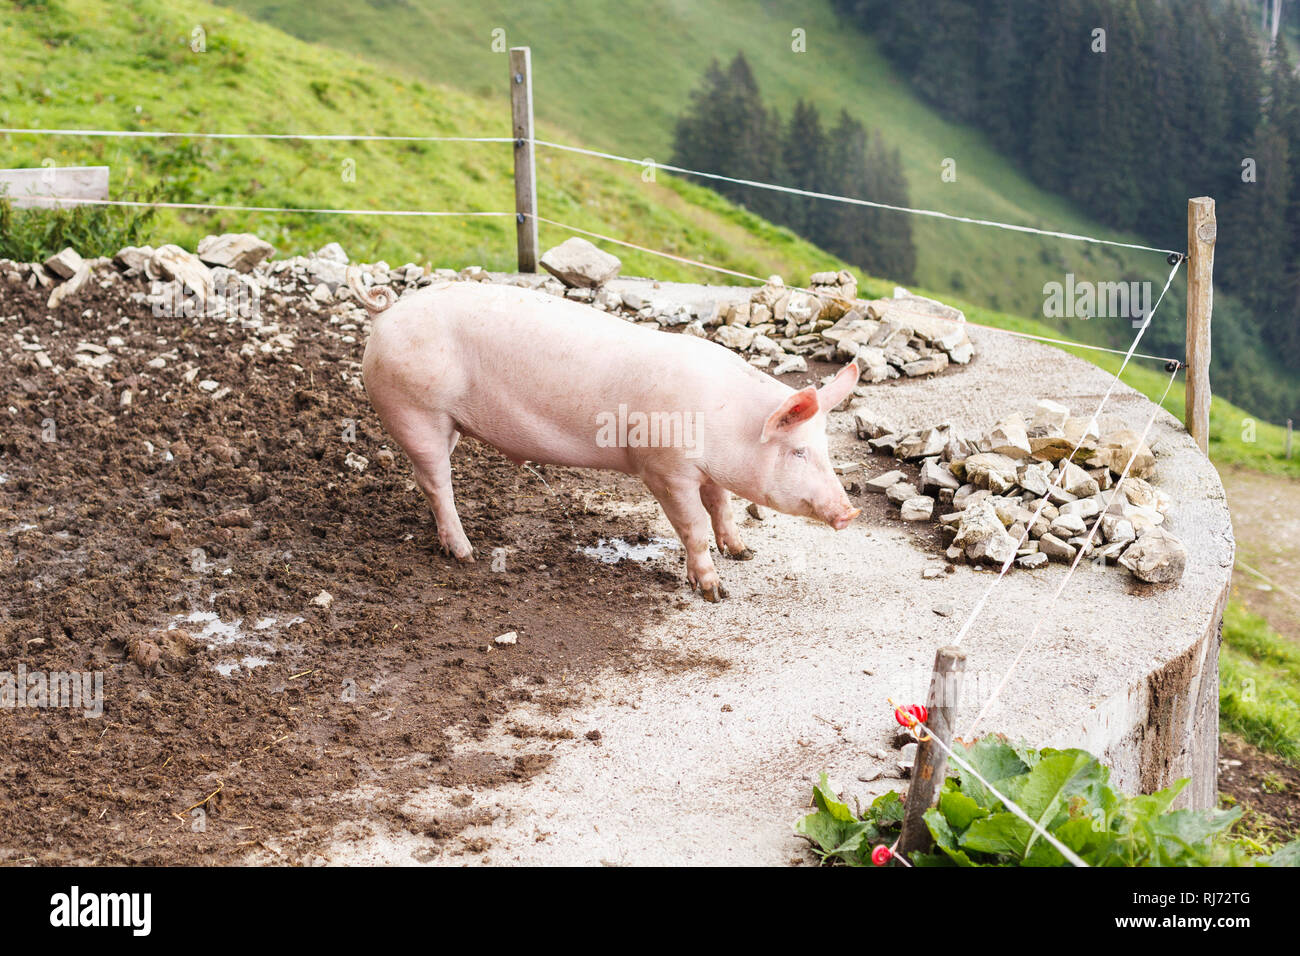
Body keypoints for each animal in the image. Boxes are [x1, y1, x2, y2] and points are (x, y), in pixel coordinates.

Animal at [353, 274, 863, 598]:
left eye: (825, 449)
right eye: (798, 452)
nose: (850, 512)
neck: (727, 422)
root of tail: (386, 312)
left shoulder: (707, 473)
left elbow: (722, 508)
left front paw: (744, 553)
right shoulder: (664, 470)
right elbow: (694, 526)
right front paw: (716, 591)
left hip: (442, 422)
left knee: (426, 480)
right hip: (415, 410)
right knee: (436, 481)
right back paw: (467, 555)